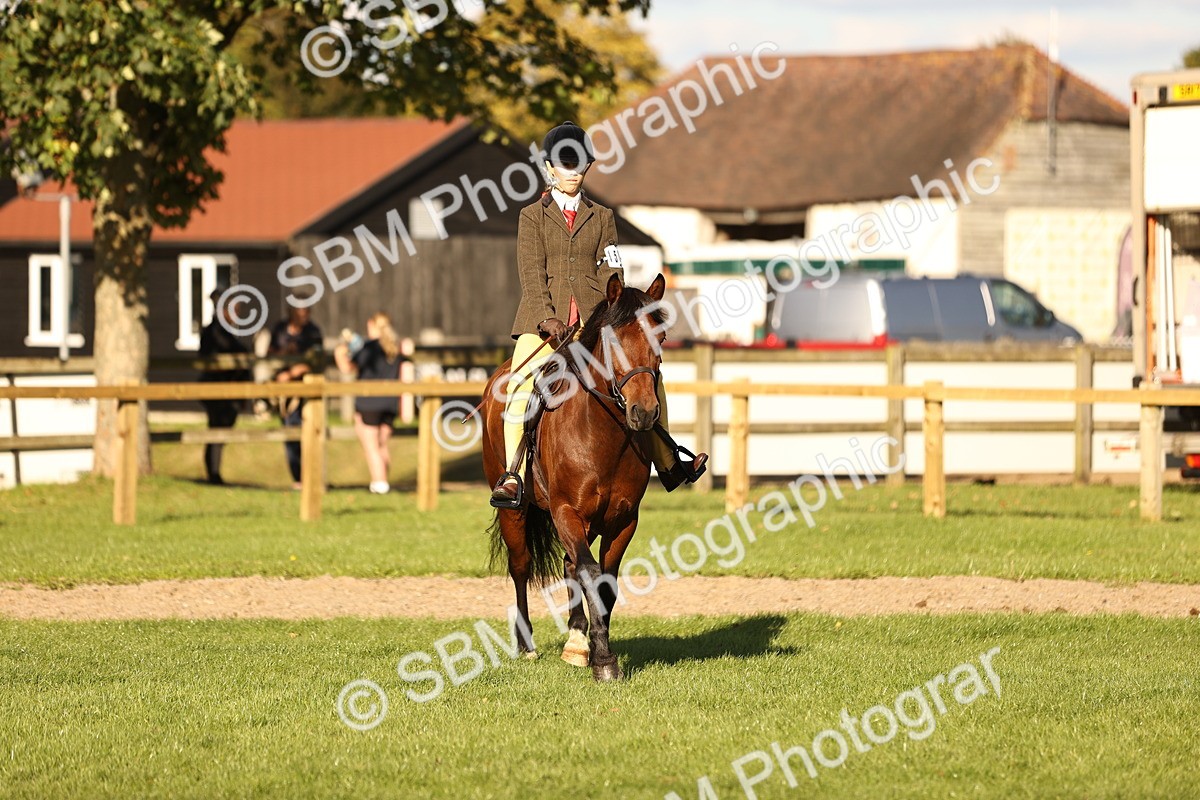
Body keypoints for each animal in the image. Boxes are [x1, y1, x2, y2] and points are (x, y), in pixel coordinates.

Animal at [481, 272, 668, 682]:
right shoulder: (566, 511)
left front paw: (598, 652)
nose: (644, 412)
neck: (601, 433)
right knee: (521, 566)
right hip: (514, 510)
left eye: (660, 338)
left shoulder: (622, 520)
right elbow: (589, 571)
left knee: (570, 565)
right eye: (612, 340)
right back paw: (526, 646)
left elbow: (603, 582)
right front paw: (604, 660)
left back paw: (576, 640)